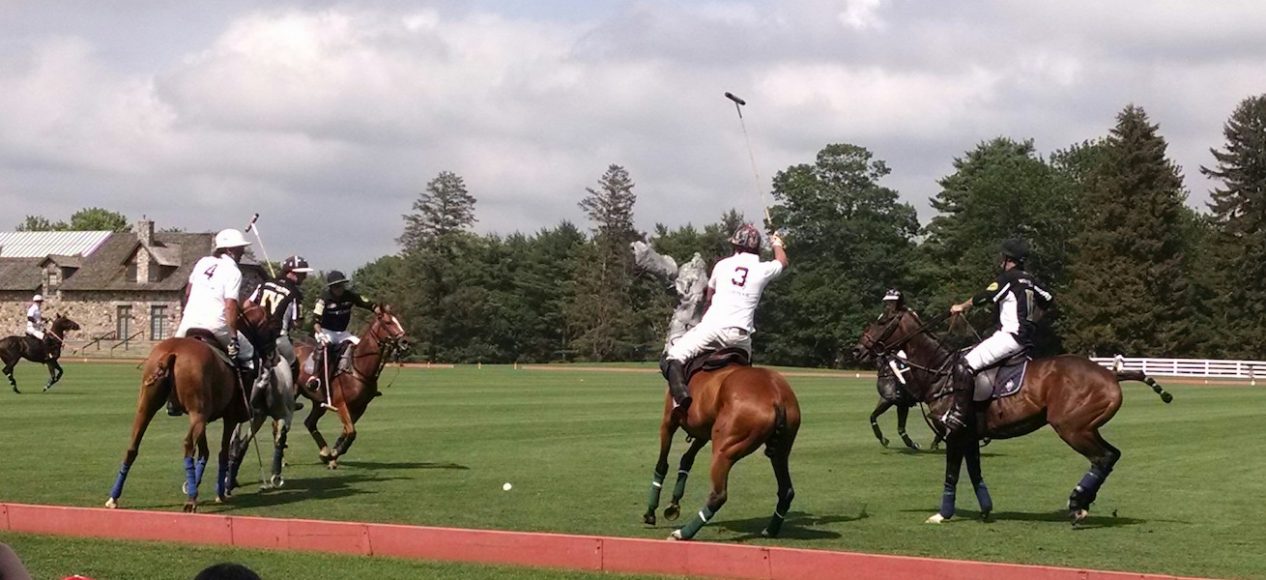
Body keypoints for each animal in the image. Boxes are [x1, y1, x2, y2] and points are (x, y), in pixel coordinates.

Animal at [104, 303, 272, 511]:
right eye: (270, 324)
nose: (271, 355)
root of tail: (172, 353)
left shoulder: (204, 417)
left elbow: (205, 452)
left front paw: (195, 484)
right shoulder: (229, 417)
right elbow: (221, 452)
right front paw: (218, 493)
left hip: (150, 405)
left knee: (132, 446)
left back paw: (114, 496)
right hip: (197, 412)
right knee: (188, 444)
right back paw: (191, 499)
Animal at [293, 306, 407, 468]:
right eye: (388, 322)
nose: (405, 342)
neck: (358, 368)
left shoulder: (360, 406)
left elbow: (347, 431)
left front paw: (333, 454)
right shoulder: (341, 404)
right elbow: (351, 431)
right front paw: (334, 453)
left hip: (318, 401)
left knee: (309, 422)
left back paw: (324, 452)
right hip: (293, 391)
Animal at [643, 352, 800, 542]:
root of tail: (776, 397)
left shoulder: (668, 422)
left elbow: (662, 464)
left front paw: (651, 512)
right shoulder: (704, 432)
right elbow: (686, 460)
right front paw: (673, 505)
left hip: (724, 449)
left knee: (718, 495)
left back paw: (683, 533)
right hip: (781, 449)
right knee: (786, 490)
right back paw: (770, 530)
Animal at [855, 307, 1169, 526]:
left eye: (882, 320)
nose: (857, 349)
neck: (940, 371)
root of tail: (1111, 374)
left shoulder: (955, 432)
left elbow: (952, 473)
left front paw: (943, 515)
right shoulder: (970, 435)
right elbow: (975, 472)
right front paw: (985, 510)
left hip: (1071, 428)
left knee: (1102, 457)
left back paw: (1077, 504)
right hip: (1087, 426)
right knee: (1112, 454)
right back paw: (1082, 502)